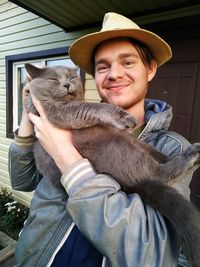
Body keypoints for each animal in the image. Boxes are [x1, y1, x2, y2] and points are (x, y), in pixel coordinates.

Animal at [25, 63, 200, 267]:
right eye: (53, 79)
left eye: (72, 77)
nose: (67, 84)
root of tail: (130, 185)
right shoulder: (57, 111)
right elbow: (91, 106)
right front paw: (125, 117)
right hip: (114, 146)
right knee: (158, 172)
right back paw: (191, 156)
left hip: (133, 144)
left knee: (156, 156)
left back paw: (184, 151)